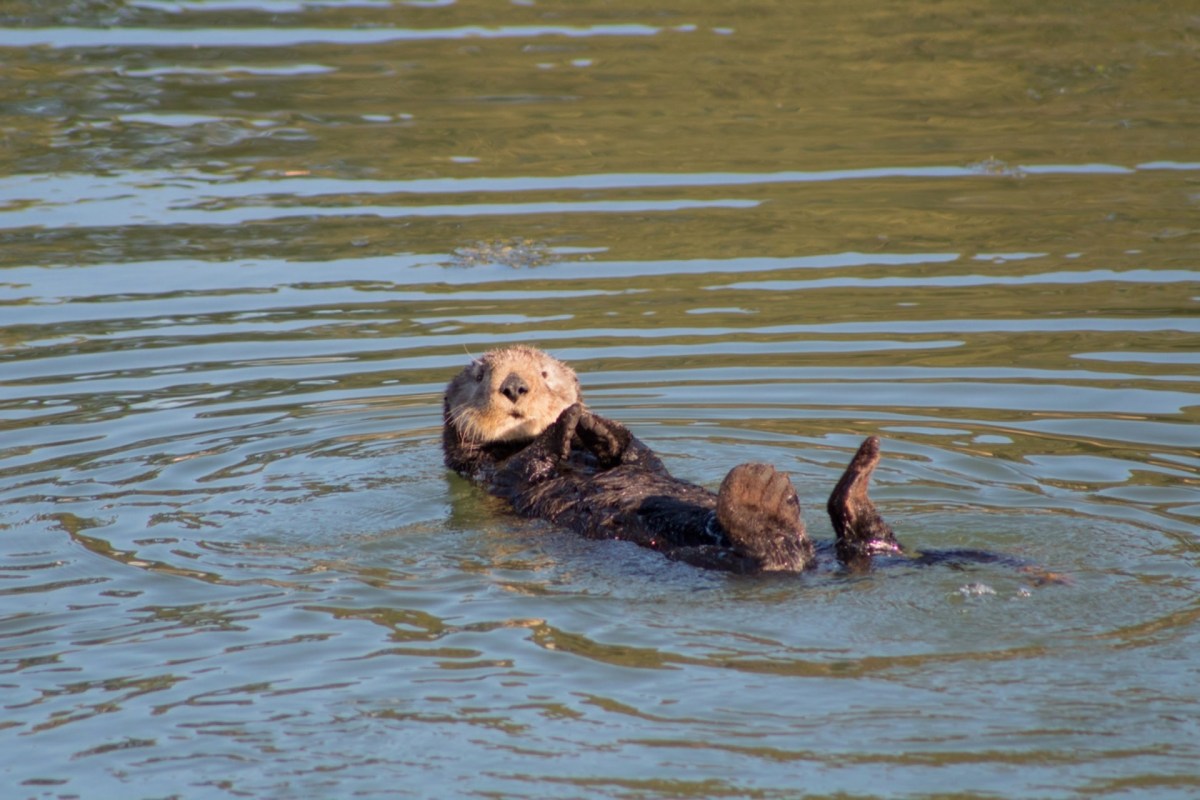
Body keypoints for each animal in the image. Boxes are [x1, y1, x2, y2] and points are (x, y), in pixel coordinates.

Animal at [441, 347, 902, 573]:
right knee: (774, 559)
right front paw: (566, 422)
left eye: (543, 375)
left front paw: (595, 424)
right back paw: (762, 495)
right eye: (480, 376)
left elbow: (638, 455)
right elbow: (527, 466)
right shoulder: (489, 473)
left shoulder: (638, 460)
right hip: (714, 556)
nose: (514, 386)